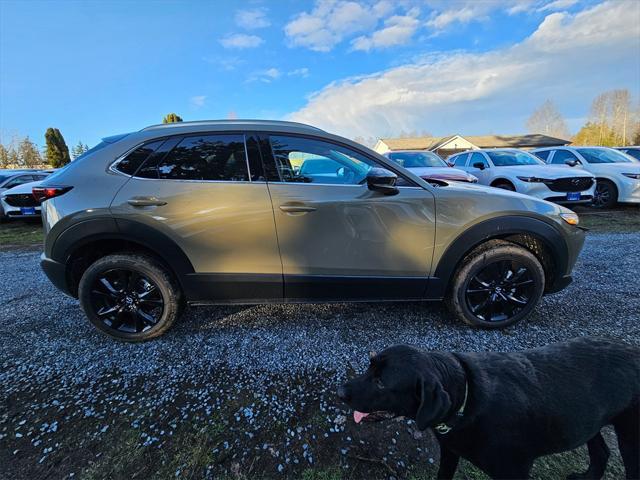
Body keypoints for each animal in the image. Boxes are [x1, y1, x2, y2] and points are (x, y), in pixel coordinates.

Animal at [338, 338, 636, 480]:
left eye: (381, 382)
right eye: (369, 366)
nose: (340, 392)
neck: (466, 400)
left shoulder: (515, 472)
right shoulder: (450, 452)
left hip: (631, 434)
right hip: (588, 423)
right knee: (601, 452)